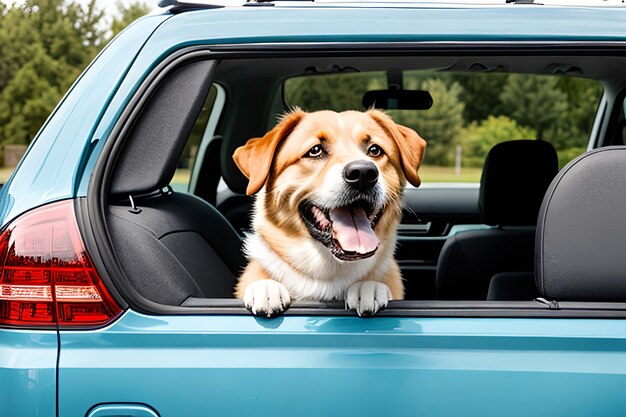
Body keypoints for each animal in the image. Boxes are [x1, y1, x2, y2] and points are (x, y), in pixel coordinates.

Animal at [233, 107, 424, 316]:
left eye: (375, 150)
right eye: (315, 150)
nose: (363, 174)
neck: (330, 273)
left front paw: (368, 286)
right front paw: (265, 287)